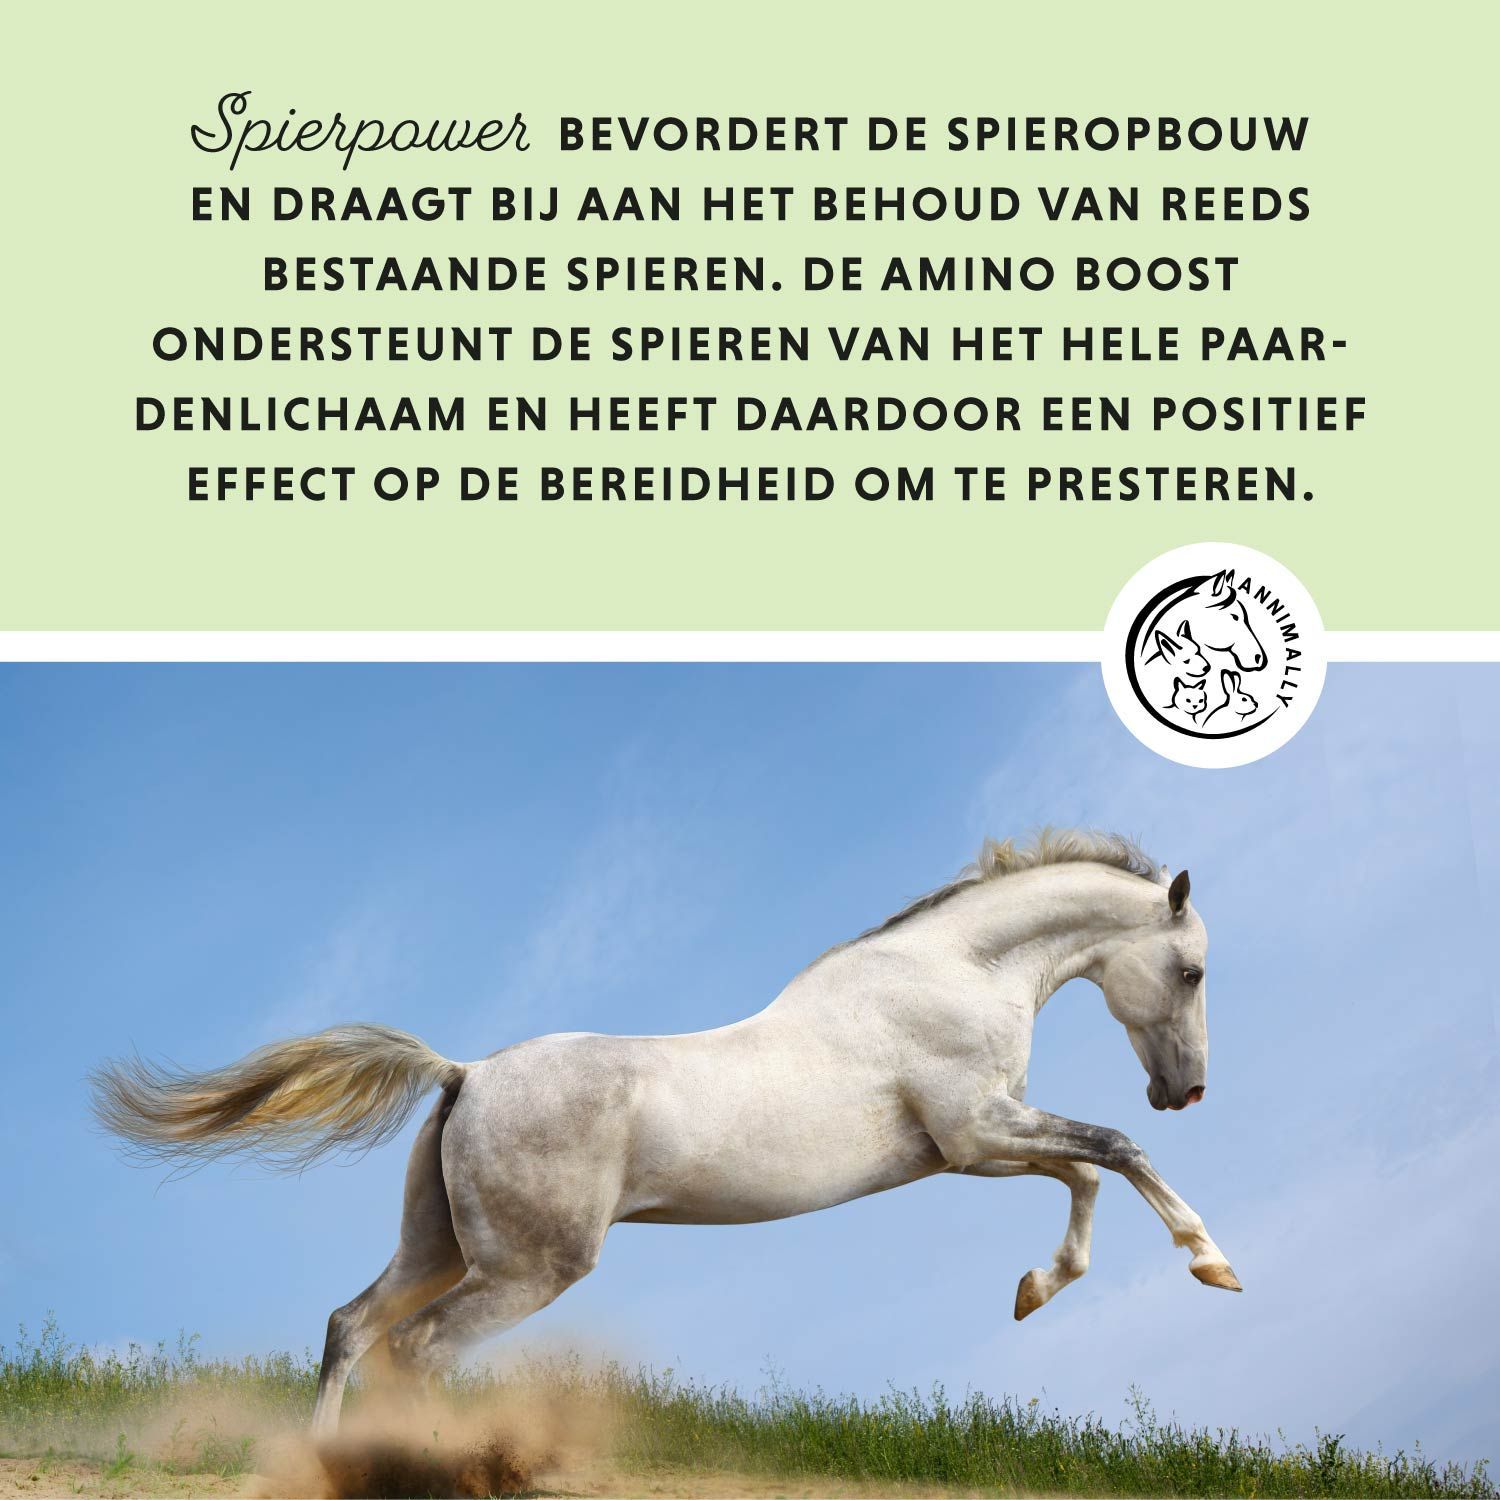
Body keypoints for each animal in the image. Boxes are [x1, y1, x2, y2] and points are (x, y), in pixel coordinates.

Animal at [90, 829, 1241, 1439]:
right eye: (1191, 971)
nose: (1185, 1091)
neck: (952, 975)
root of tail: (465, 1074)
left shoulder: (975, 1148)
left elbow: (1086, 1176)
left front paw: (1035, 1290)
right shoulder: (977, 1133)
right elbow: (1114, 1153)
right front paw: (1212, 1265)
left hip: (440, 1247)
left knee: (351, 1328)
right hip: (527, 1269)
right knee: (417, 1351)